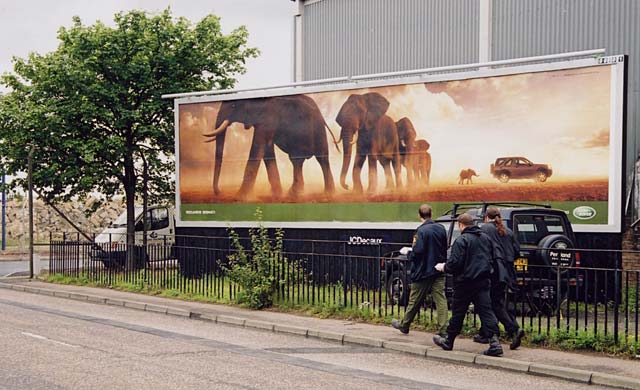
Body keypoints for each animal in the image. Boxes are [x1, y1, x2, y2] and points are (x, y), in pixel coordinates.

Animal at [205, 94, 340, 198]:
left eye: (234, 106)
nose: (219, 192)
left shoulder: (268, 117)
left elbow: (258, 146)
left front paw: (240, 198)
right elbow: (267, 149)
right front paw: (277, 194)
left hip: (318, 129)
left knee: (321, 158)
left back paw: (327, 194)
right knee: (297, 160)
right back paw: (295, 193)